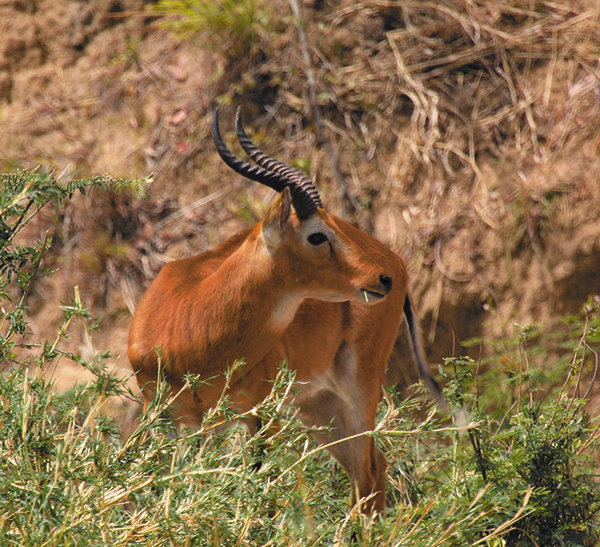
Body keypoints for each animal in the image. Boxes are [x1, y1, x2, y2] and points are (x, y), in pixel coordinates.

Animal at [127, 108, 446, 512]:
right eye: (316, 235)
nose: (381, 279)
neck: (188, 326)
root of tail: (396, 259)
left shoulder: (261, 414)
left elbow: (262, 487)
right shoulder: (167, 417)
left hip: (358, 387)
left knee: (369, 473)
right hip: (319, 405)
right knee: (372, 470)